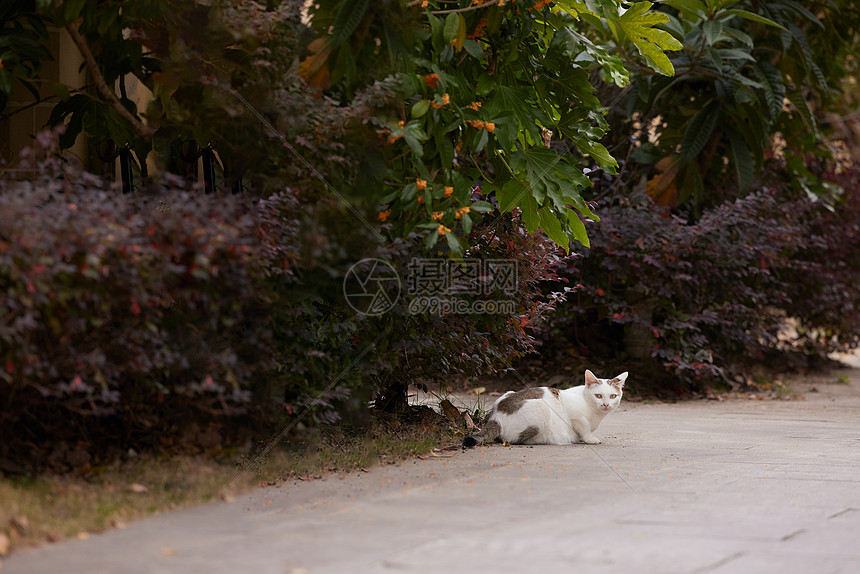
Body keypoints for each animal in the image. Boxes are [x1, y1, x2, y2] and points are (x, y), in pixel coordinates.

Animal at [464, 368, 624, 450]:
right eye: (598, 395)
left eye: (613, 396)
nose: (606, 404)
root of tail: (495, 417)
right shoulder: (574, 415)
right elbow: (584, 427)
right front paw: (589, 438)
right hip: (542, 407)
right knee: (513, 439)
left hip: (508, 392)